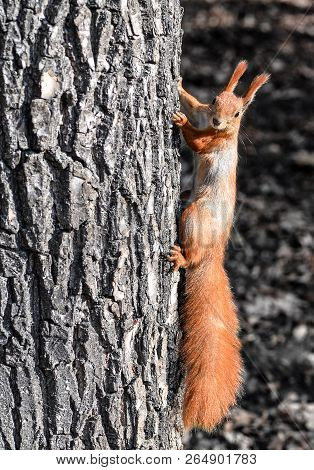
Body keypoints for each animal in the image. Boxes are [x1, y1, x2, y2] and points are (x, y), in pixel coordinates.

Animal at [169, 61, 270, 430]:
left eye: (238, 113)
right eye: (215, 99)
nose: (218, 121)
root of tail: (214, 256)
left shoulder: (214, 145)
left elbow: (198, 144)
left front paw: (180, 123)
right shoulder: (202, 110)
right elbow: (191, 103)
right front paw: (180, 85)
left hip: (195, 217)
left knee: (192, 251)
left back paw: (181, 258)